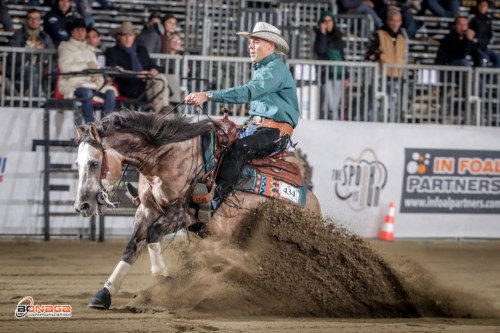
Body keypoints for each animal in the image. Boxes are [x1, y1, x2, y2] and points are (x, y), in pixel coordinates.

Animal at [74, 111, 322, 308]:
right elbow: (132, 247)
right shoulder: (146, 209)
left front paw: (164, 281)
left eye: (94, 163)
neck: (168, 158)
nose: (82, 205)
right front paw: (104, 294)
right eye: (77, 164)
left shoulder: (186, 214)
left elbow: (153, 234)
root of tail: (312, 202)